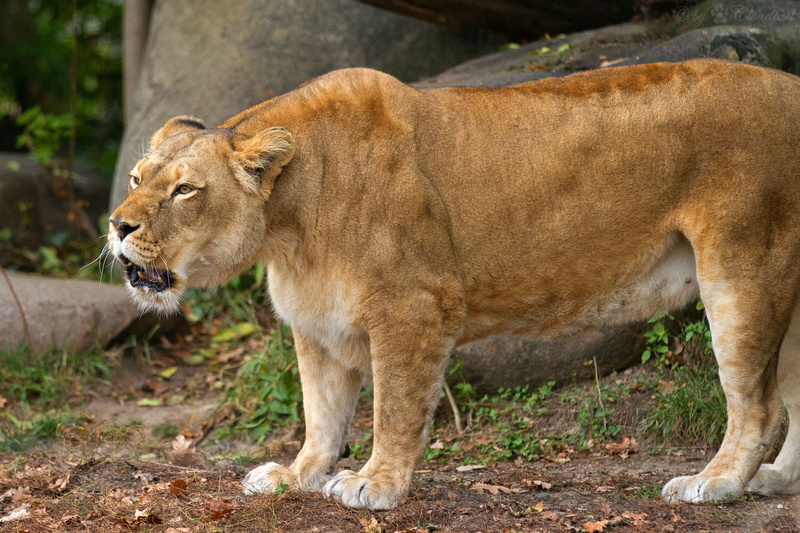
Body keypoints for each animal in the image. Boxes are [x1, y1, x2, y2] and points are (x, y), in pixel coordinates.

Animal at [109, 59, 800, 510]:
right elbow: (321, 412)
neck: (290, 228)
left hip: (742, 267)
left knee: (760, 404)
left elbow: (394, 405)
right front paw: (298, 475)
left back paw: (718, 484)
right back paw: (772, 480)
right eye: (137, 178)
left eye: (184, 190)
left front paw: (375, 485)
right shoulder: (316, 321)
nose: (117, 225)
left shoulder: (414, 307)